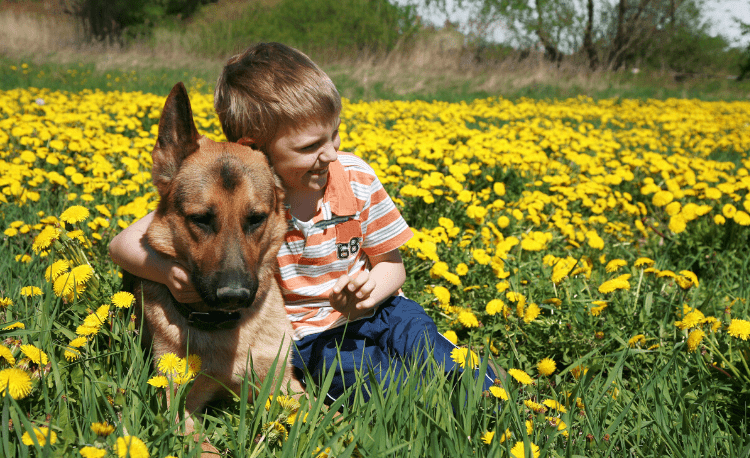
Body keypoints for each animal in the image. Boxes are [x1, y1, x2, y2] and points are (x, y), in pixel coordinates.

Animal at [123, 81, 302, 450]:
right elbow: (203, 447)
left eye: (256, 218)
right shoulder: (176, 403)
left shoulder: (287, 386)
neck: (228, 332)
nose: (234, 295)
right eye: (201, 219)